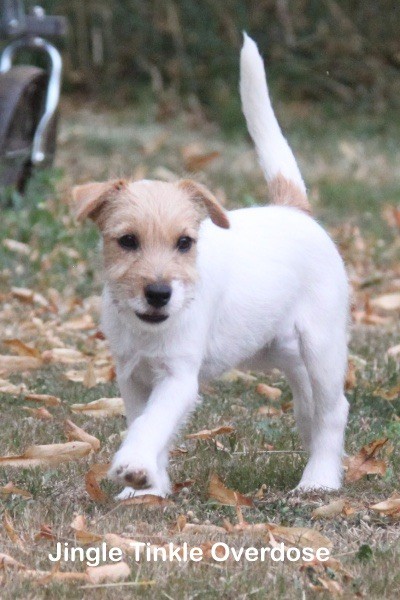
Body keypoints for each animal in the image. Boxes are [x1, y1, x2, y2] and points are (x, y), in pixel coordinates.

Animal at [72, 34, 349, 500]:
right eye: (127, 241)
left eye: (185, 243)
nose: (159, 293)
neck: (150, 329)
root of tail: (293, 210)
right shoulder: (133, 376)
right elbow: (142, 421)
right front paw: (147, 489)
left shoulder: (178, 378)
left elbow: (152, 424)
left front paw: (136, 469)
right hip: (277, 348)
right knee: (307, 403)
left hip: (322, 345)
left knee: (333, 409)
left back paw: (320, 479)